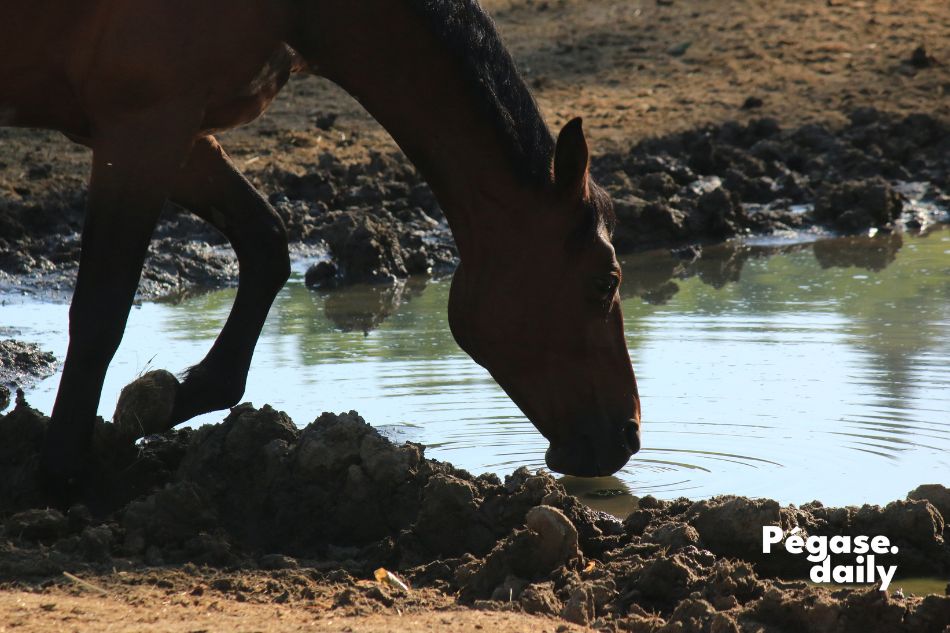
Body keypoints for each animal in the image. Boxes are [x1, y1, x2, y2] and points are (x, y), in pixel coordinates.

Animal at [0, 0, 641, 489]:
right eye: (604, 280)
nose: (628, 436)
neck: (292, 8)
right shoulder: (141, 127)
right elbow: (102, 310)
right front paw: (62, 474)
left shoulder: (178, 132)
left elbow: (267, 245)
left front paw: (180, 396)